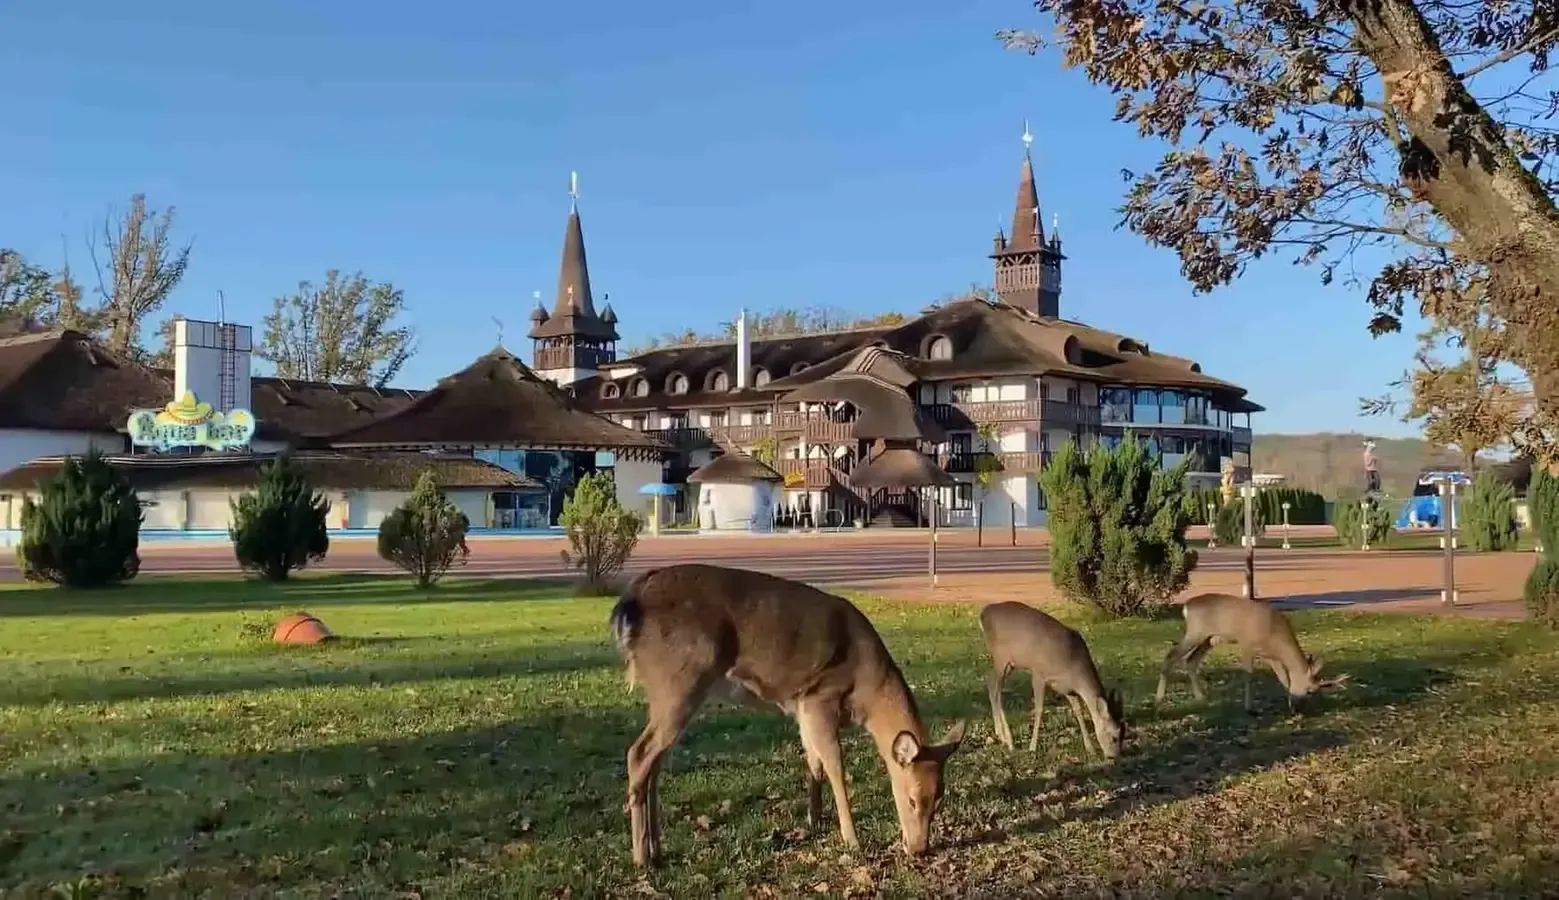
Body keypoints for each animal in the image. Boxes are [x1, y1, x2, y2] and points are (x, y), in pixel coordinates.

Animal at [604, 564, 960, 867]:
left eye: (938, 800)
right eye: (912, 799)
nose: (920, 849)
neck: (867, 690)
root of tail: (629, 604)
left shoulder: (802, 706)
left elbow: (814, 762)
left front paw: (814, 821)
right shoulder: (820, 697)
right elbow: (835, 765)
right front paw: (851, 839)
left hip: (666, 692)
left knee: (654, 762)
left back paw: (656, 848)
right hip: (681, 681)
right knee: (639, 753)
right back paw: (641, 857)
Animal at [979, 605, 1128, 758]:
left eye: (1124, 734)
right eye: (1114, 737)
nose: (1114, 756)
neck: (1073, 665)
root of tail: (983, 613)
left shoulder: (1068, 688)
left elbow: (1078, 711)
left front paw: (1090, 748)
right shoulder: (1038, 673)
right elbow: (1039, 709)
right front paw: (1032, 747)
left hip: (1009, 664)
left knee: (991, 685)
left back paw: (1001, 735)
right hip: (1000, 657)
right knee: (996, 690)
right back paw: (1009, 741)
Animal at [1153, 592, 1346, 711]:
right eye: (1309, 690)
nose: (1300, 709)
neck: (1274, 634)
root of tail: (1186, 606)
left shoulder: (1271, 657)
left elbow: (1284, 678)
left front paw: (1288, 702)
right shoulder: (1246, 644)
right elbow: (1248, 675)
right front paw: (1249, 707)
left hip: (1208, 639)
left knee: (1190, 661)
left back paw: (1200, 697)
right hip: (1195, 632)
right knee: (1171, 655)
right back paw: (1159, 698)